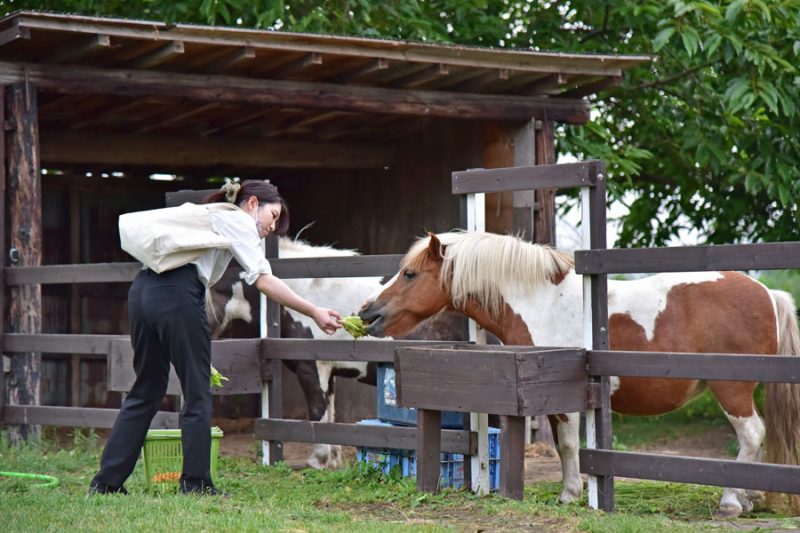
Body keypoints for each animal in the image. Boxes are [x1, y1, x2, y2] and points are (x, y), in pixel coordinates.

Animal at [360, 231, 800, 516]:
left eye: (410, 274)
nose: (368, 312)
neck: (540, 300)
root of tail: (768, 293)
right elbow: (562, 446)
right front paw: (573, 492)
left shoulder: (562, 399)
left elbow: (571, 445)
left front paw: (571, 494)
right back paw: (749, 498)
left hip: (732, 390)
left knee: (752, 435)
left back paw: (730, 502)